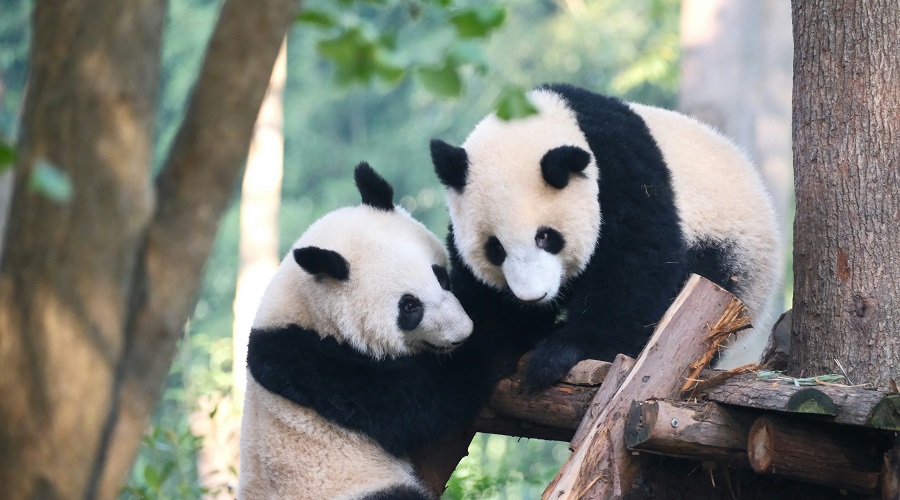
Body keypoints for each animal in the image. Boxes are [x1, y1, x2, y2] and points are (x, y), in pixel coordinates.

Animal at [239, 163, 495, 500]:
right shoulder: (310, 365)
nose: (462, 333)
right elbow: (424, 400)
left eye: (441, 277)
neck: (308, 309)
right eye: (409, 307)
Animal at [430, 83, 783, 391]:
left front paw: (560, 353)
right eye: (495, 249)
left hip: (729, 250)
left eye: (546, 237)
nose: (533, 297)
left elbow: (636, 265)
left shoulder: (622, 171)